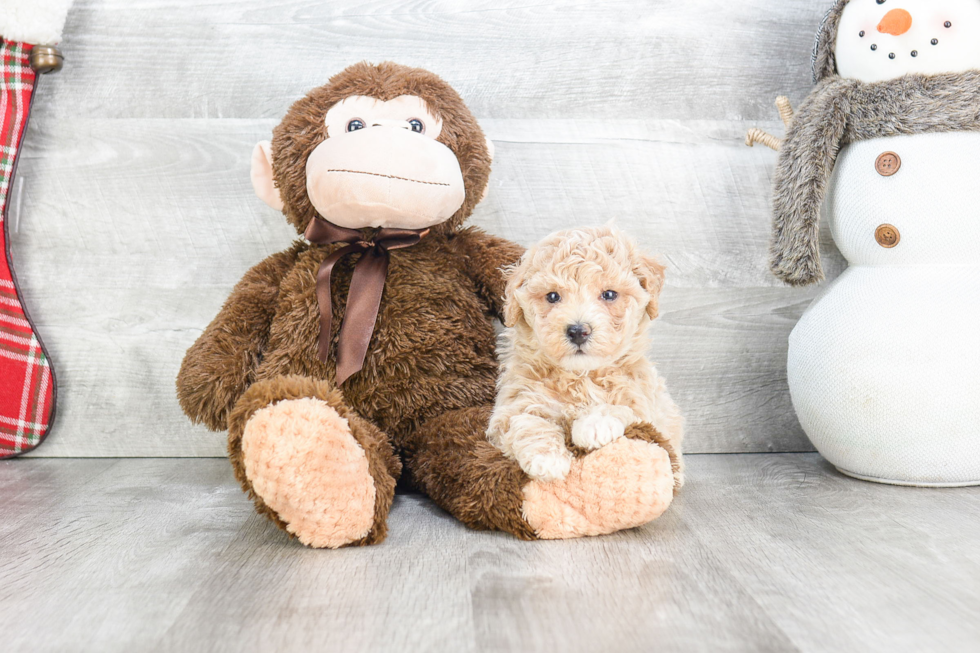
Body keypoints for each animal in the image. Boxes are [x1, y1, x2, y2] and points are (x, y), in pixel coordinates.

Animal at [486, 227, 684, 482]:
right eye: (552, 297)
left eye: (609, 294)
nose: (578, 331)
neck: (581, 375)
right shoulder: (511, 406)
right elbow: (527, 421)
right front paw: (547, 458)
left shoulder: (646, 407)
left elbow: (622, 408)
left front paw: (595, 424)